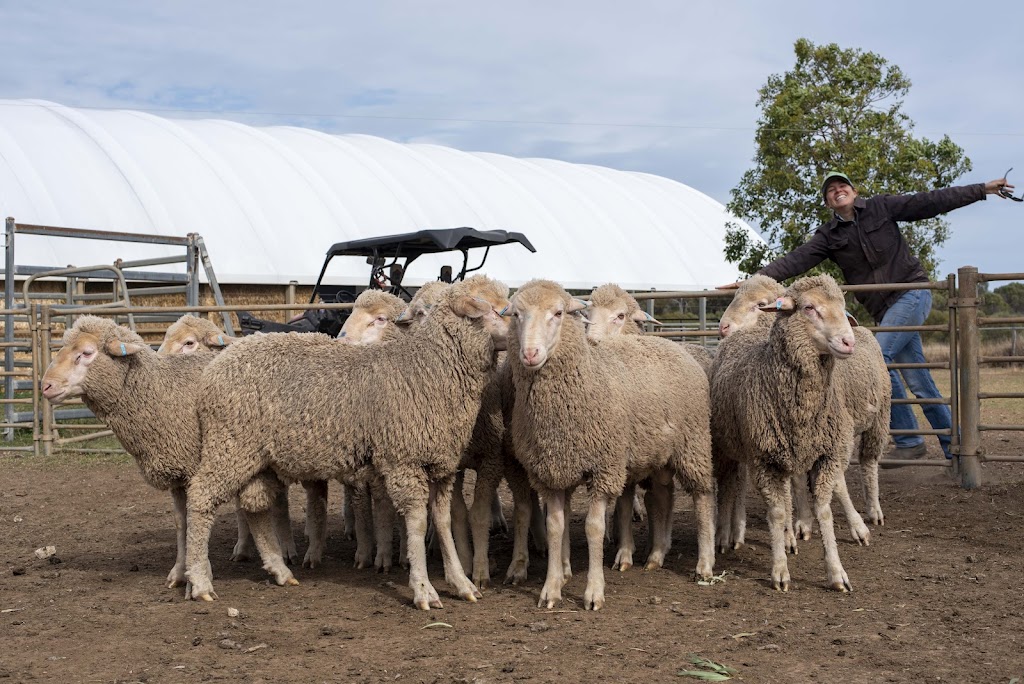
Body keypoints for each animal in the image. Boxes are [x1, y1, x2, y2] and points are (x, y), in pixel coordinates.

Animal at [507, 278, 716, 610]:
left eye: (558, 313)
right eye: (516, 315)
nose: (529, 353)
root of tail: (672, 344)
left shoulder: (604, 468)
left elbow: (594, 527)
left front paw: (594, 591)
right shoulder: (552, 472)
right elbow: (555, 526)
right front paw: (552, 588)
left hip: (693, 443)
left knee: (702, 496)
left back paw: (705, 564)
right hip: (658, 454)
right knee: (662, 495)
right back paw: (656, 555)